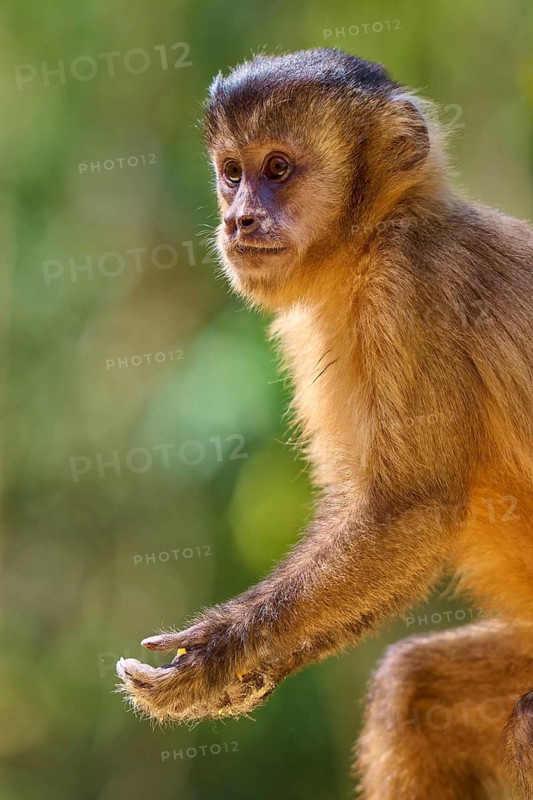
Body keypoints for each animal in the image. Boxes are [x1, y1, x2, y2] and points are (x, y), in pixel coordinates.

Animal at [116, 47, 533, 799]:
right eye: (233, 172)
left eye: (278, 169)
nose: (239, 219)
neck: (376, 236)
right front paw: (246, 671)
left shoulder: (409, 285)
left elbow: (410, 510)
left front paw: (217, 656)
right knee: (414, 687)